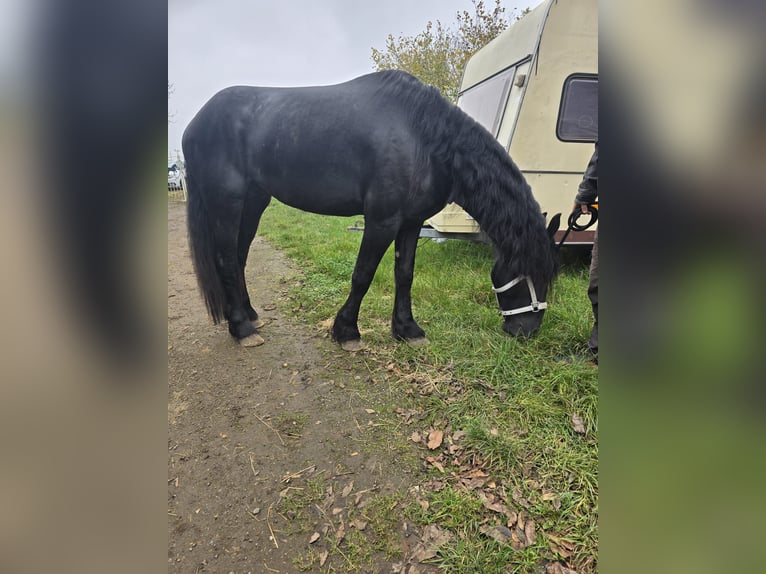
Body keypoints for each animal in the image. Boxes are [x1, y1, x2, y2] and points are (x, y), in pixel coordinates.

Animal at [183, 72, 560, 352]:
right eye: (530, 272)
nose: (526, 329)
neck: (423, 137)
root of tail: (194, 124)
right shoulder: (382, 220)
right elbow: (363, 274)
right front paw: (347, 331)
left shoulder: (411, 223)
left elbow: (404, 275)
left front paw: (407, 329)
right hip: (227, 203)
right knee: (226, 259)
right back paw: (242, 329)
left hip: (254, 202)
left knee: (239, 257)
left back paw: (250, 315)